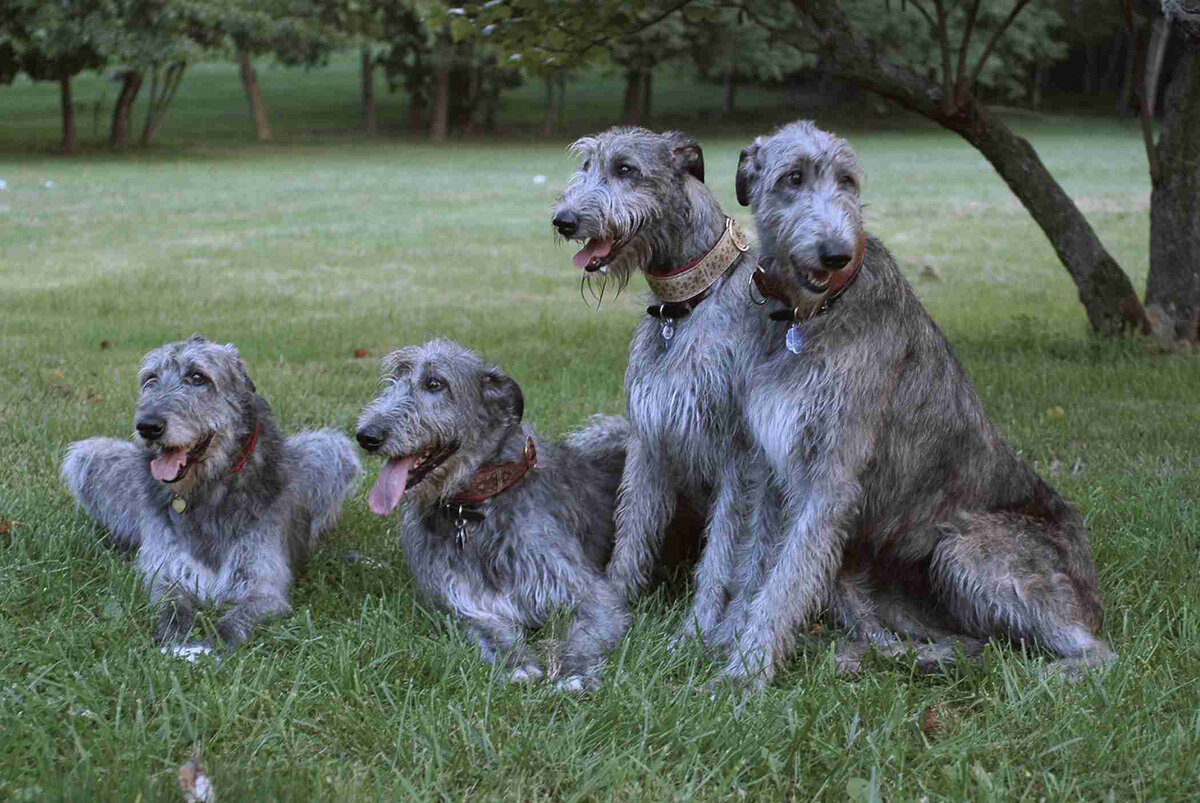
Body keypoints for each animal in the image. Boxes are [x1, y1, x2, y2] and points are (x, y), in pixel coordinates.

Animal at [62, 336, 360, 652]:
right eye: (150, 379)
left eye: (197, 377)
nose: (148, 426)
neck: (207, 487)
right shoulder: (166, 573)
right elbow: (170, 605)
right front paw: (175, 640)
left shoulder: (263, 588)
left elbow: (238, 617)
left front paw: (209, 647)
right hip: (93, 457)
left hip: (329, 450)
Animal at [352, 340, 628, 691]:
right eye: (394, 379)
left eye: (435, 384)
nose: (366, 435)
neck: (474, 508)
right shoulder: (459, 602)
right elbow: (487, 629)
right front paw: (516, 663)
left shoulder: (586, 590)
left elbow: (587, 629)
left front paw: (575, 671)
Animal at [549, 128, 768, 667]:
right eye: (586, 165)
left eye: (626, 169)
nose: (563, 220)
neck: (686, 305)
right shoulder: (646, 441)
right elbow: (630, 535)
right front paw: (610, 608)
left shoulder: (737, 458)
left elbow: (722, 555)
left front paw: (696, 632)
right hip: (608, 434)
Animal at [715, 122, 1108, 686]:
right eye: (793, 178)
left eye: (849, 181)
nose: (836, 254)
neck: (809, 315)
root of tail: (1090, 591)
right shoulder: (773, 466)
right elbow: (757, 568)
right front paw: (731, 643)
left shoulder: (832, 477)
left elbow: (785, 581)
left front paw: (745, 674)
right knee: (939, 638)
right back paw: (893, 655)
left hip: (964, 550)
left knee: (1096, 653)